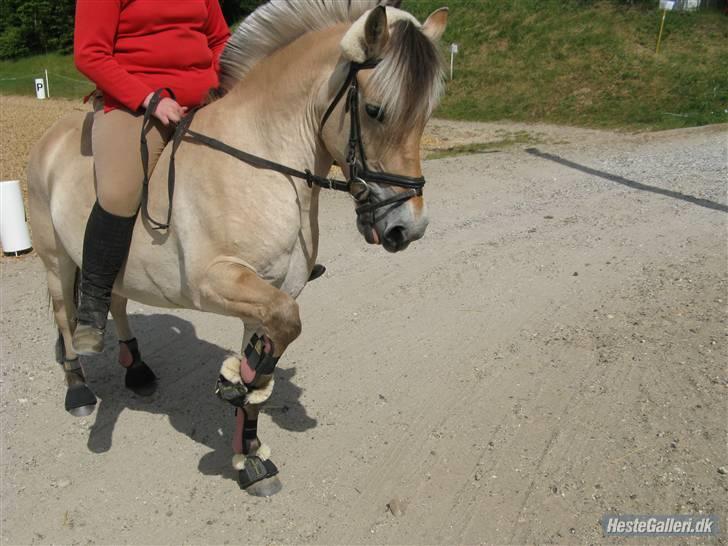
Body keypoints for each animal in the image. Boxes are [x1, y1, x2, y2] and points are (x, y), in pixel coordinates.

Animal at [28, 0, 446, 492]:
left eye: (426, 113)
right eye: (376, 110)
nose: (408, 229)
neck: (262, 157)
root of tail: (51, 135)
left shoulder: (268, 293)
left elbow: (270, 355)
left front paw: (249, 451)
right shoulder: (215, 282)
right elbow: (286, 323)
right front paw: (236, 384)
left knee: (115, 299)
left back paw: (137, 370)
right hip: (56, 260)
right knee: (65, 313)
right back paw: (78, 388)